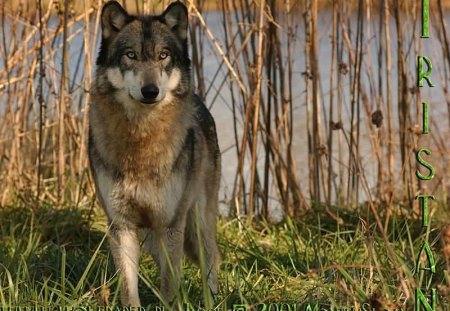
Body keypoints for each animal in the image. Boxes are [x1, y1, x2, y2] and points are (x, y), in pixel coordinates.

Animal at [87, 0, 221, 308]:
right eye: (131, 55)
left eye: (163, 55)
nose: (150, 91)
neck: (140, 142)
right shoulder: (121, 226)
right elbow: (129, 287)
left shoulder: (171, 224)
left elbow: (171, 284)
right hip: (152, 235)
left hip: (195, 221)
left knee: (211, 258)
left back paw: (214, 299)